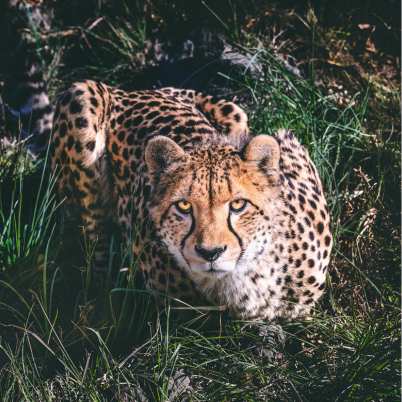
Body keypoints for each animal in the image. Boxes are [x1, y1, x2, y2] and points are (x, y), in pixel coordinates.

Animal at [51, 81, 332, 320]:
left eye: (238, 205)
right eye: (184, 206)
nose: (211, 252)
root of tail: (130, 91)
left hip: (236, 113)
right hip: (81, 99)